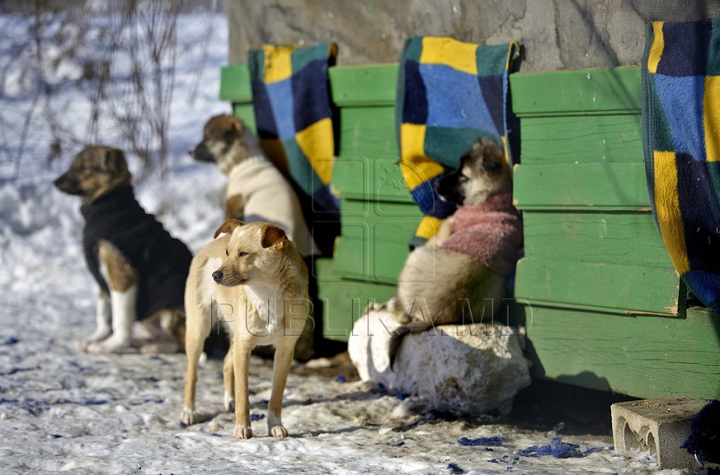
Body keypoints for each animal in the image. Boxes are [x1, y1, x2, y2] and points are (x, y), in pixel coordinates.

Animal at [53, 145, 193, 354]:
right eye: (73, 165)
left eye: (85, 168)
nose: (55, 182)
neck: (108, 206)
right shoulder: (103, 280)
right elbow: (103, 316)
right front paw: (94, 339)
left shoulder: (123, 277)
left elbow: (120, 320)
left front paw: (107, 346)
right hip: (146, 317)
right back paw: (144, 341)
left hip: (172, 312)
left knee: (183, 343)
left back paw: (153, 347)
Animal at [180, 219, 310, 438]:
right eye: (227, 252)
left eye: (243, 254)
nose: (215, 275)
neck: (267, 294)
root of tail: (207, 245)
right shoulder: (244, 347)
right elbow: (243, 394)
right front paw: (242, 428)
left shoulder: (284, 350)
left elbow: (276, 395)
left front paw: (275, 426)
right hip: (199, 329)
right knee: (191, 374)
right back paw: (189, 412)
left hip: (235, 336)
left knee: (226, 363)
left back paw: (228, 401)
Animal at [386, 139, 520, 366]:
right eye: (457, 168)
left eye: (463, 176)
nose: (436, 184)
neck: (488, 197)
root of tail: (432, 318)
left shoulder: (444, 231)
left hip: (414, 259)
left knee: (403, 313)